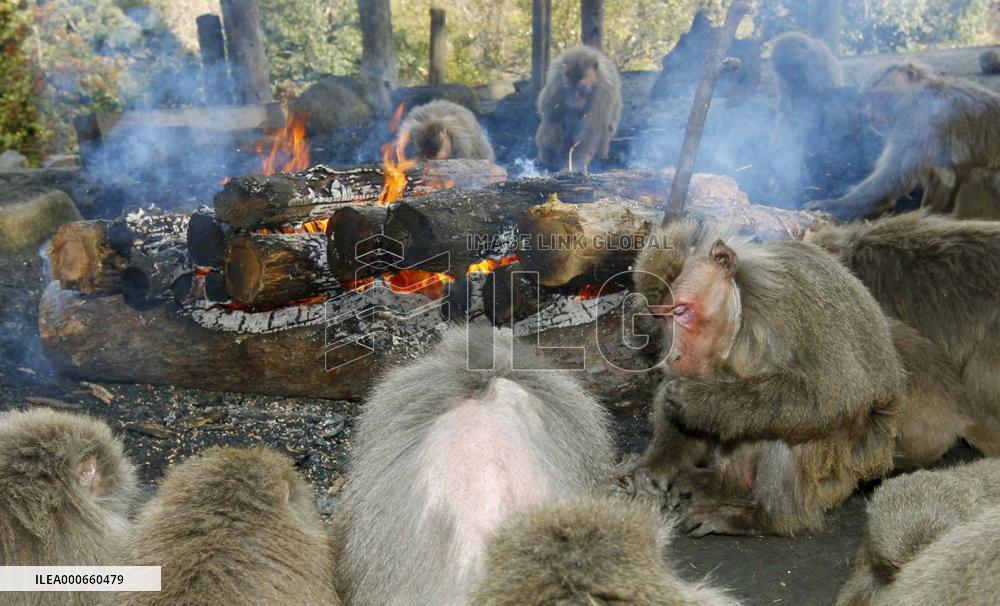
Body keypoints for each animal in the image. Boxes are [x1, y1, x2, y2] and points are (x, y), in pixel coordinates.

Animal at [536, 45, 622, 173]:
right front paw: (554, 159)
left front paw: (576, 165)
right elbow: (551, 119)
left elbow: (592, 129)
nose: (574, 100)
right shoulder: (556, 85)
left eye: (581, 86)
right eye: (569, 86)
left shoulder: (602, 92)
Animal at [624, 220, 903, 536]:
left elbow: (837, 392)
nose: (673, 356)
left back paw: (767, 517)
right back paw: (719, 481)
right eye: (662, 318)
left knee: (788, 427)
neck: (744, 313)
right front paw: (656, 469)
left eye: (681, 311)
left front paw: (698, 401)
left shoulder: (789, 303)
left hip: (832, 475)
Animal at [805, 62, 1000, 219]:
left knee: (974, 175)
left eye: (878, 97)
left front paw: (834, 205)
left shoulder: (918, 119)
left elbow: (894, 176)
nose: (868, 114)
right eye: (869, 98)